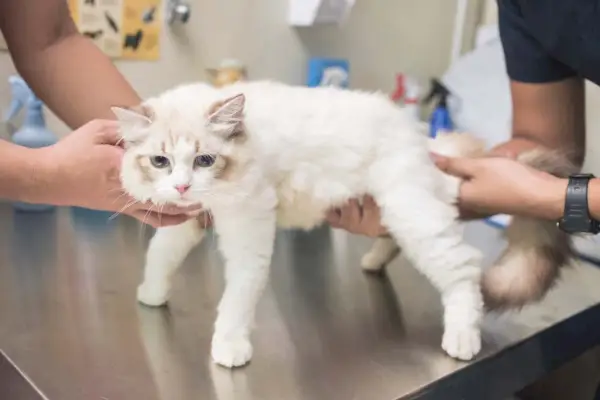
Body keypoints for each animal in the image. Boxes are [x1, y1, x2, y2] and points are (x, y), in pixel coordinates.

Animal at [112, 80, 576, 368]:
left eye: (205, 160)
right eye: (161, 161)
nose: (183, 185)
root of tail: (423, 139)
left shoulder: (249, 234)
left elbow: (236, 303)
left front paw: (229, 346)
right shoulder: (187, 222)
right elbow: (161, 258)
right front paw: (151, 295)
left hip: (412, 215)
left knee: (464, 271)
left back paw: (462, 339)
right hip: (398, 215)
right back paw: (372, 263)